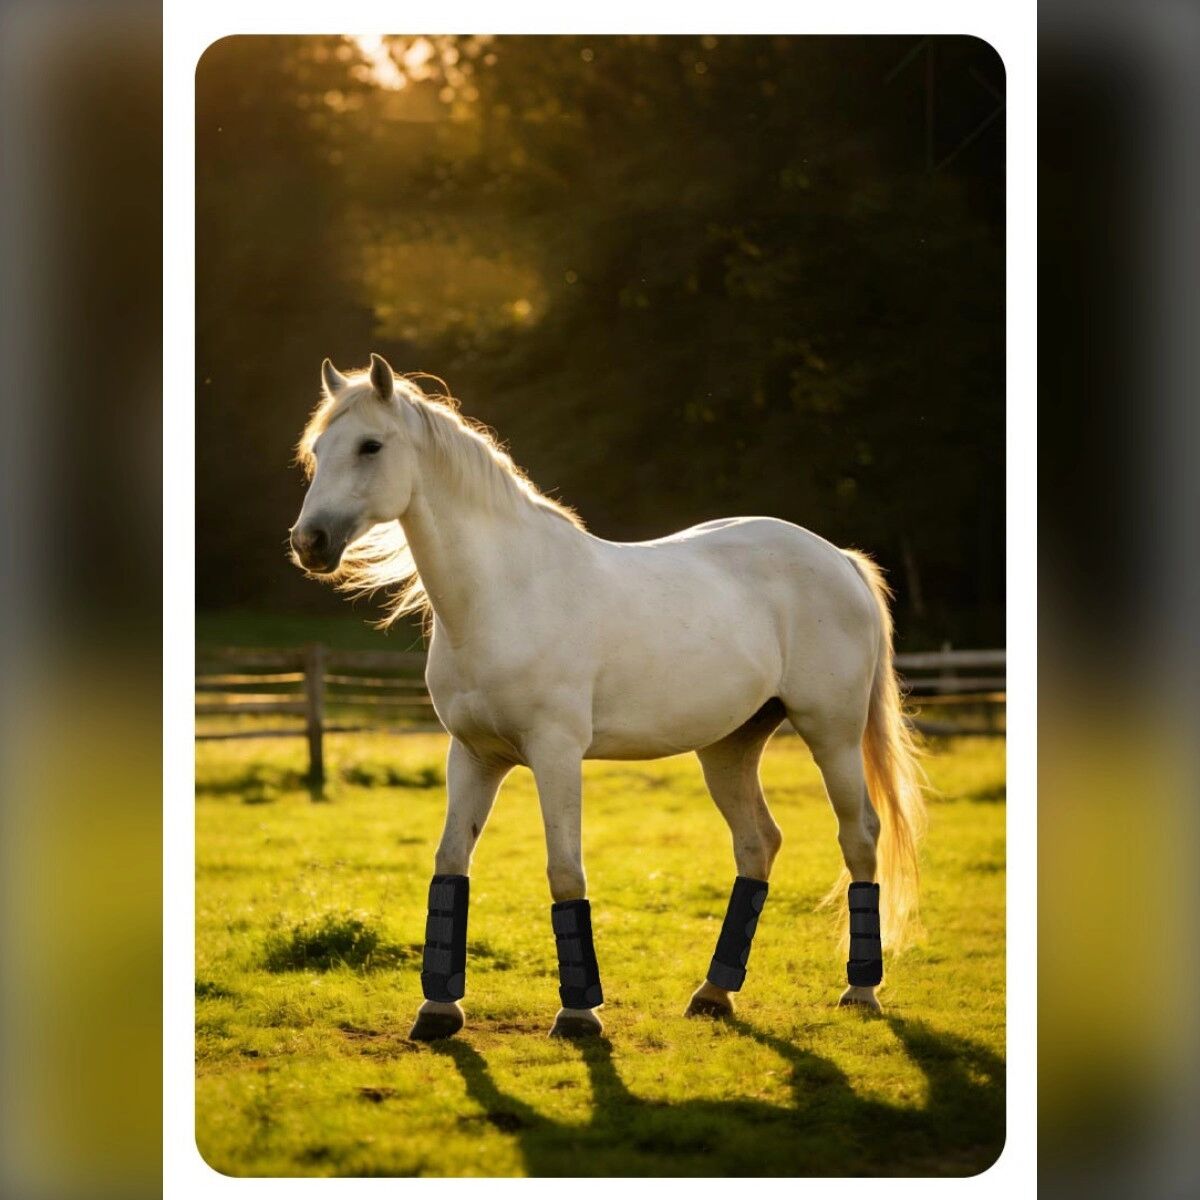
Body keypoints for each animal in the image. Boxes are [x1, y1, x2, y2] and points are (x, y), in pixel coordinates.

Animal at [290, 354, 925, 1041]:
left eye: (370, 445)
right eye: (318, 451)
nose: (309, 542)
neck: (506, 591)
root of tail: (837, 557)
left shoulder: (556, 753)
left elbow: (565, 870)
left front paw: (578, 1013)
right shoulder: (473, 755)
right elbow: (451, 861)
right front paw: (437, 1010)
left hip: (831, 733)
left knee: (859, 836)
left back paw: (860, 991)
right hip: (729, 747)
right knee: (759, 843)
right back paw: (713, 993)